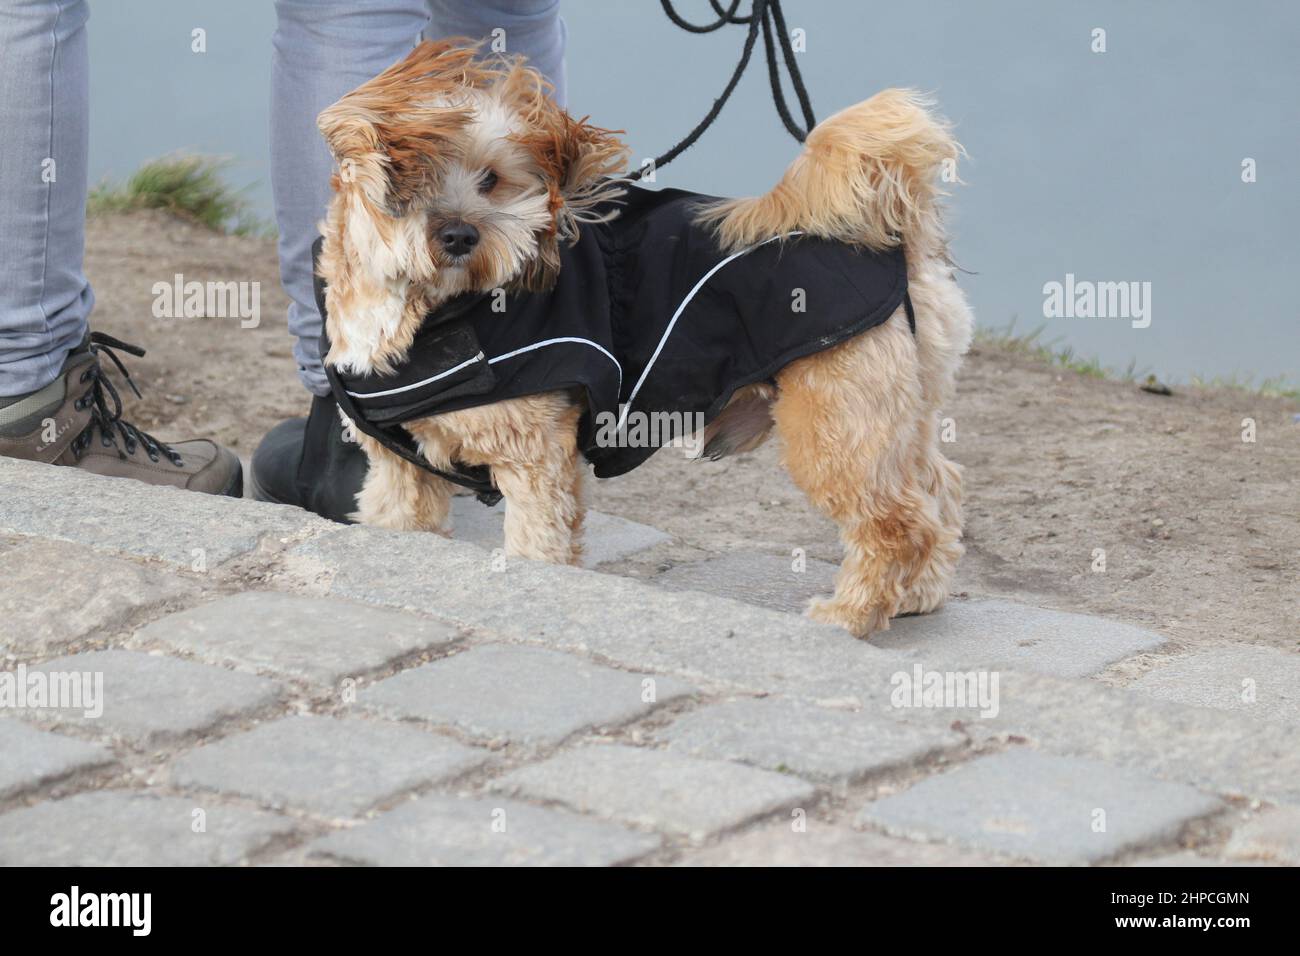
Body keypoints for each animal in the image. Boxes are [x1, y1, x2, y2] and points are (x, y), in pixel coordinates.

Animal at [317, 39, 977, 634]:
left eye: (491, 180)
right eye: (410, 172)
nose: (459, 236)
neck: (434, 313)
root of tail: (892, 241)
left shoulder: (533, 460)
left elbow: (536, 547)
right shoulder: (400, 470)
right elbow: (399, 524)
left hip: (836, 424)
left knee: (896, 521)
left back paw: (852, 616)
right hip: (899, 413)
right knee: (939, 490)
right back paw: (917, 597)